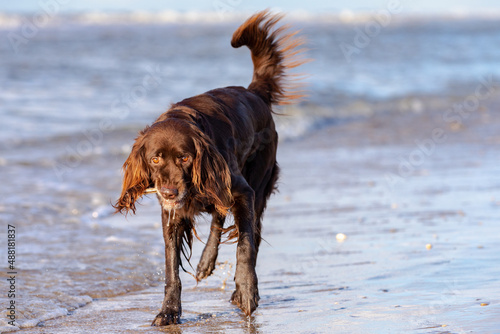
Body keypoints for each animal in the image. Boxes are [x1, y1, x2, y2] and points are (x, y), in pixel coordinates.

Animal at [114, 11, 306, 326]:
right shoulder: (172, 214)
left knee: (250, 232)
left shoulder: (243, 192)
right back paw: (205, 263)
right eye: (155, 159)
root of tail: (254, 93)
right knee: (218, 218)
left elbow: (245, 247)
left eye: (184, 158)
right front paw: (169, 310)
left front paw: (246, 292)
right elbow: (171, 268)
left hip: (258, 183)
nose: (169, 192)